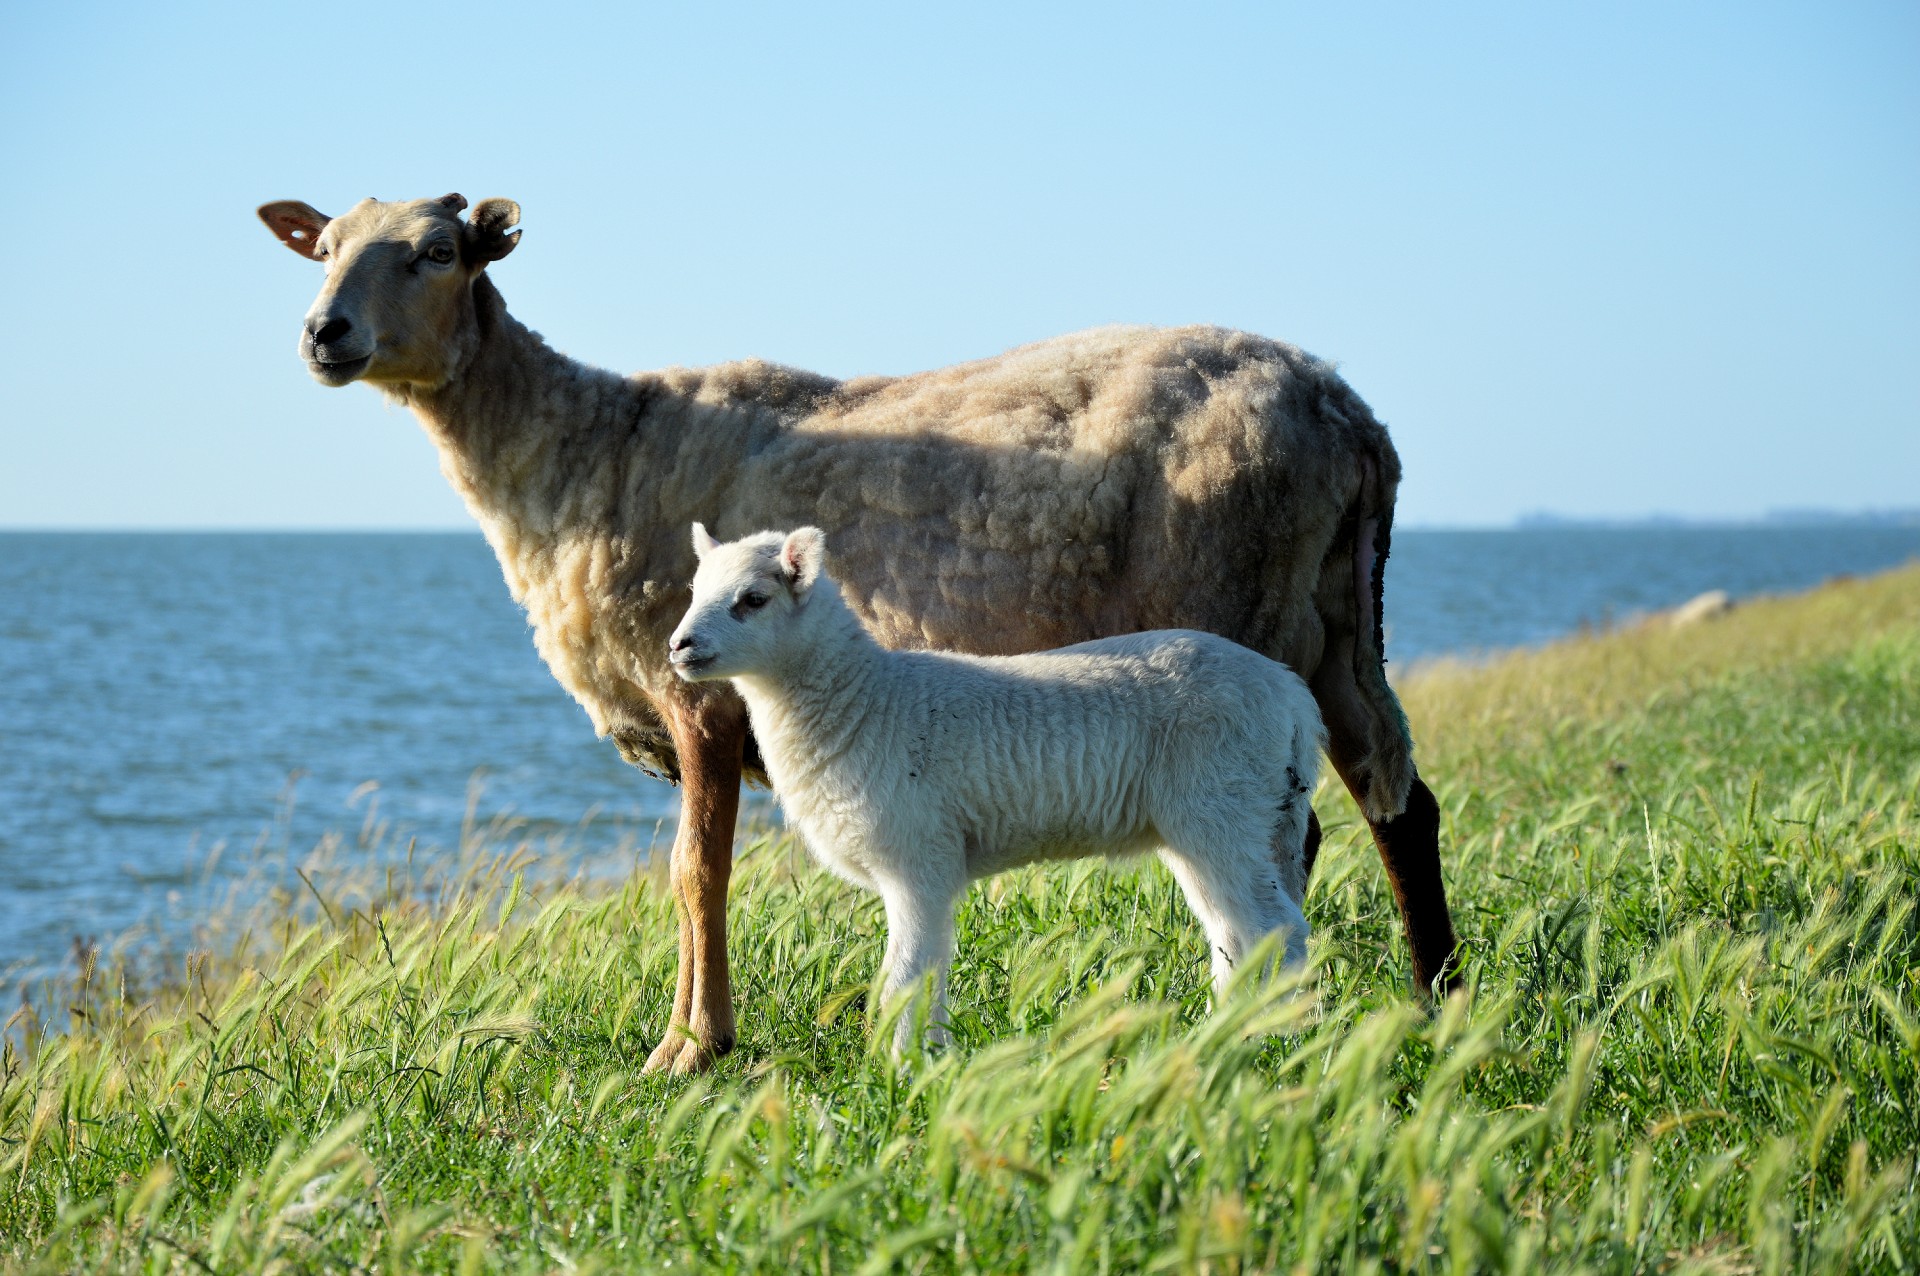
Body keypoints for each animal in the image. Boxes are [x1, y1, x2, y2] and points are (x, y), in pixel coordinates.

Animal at [672, 521, 1320, 1051]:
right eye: (694, 592)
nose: (677, 646)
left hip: (1221, 803)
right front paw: (926, 1061)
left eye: (753, 600)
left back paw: (1275, 1038)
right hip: (1217, 823)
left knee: (1276, 929)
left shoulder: (920, 859)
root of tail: (1292, 698)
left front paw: (901, 1069)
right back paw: (1225, 1030)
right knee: (1234, 932)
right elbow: (922, 974)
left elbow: (907, 975)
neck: (867, 700)